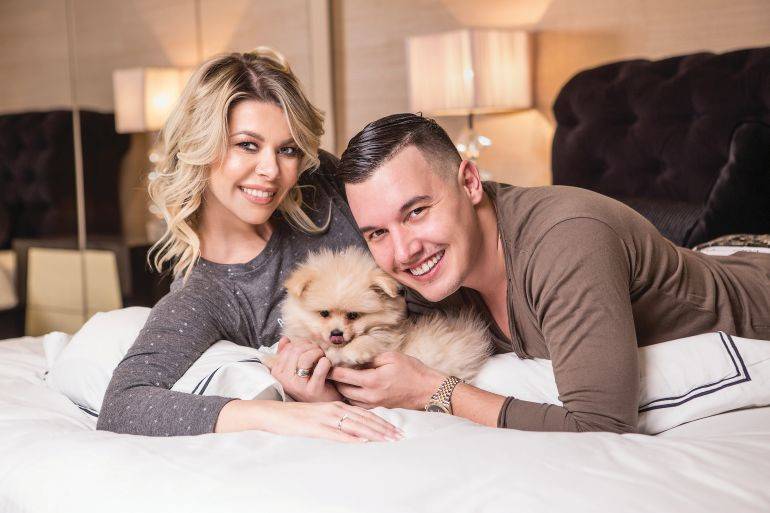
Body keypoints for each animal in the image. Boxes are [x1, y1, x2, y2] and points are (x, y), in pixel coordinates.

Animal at [266, 246, 492, 381]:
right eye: (324, 313)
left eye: (353, 315)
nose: (336, 333)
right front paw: (273, 360)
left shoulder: (386, 340)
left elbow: (367, 340)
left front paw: (351, 352)